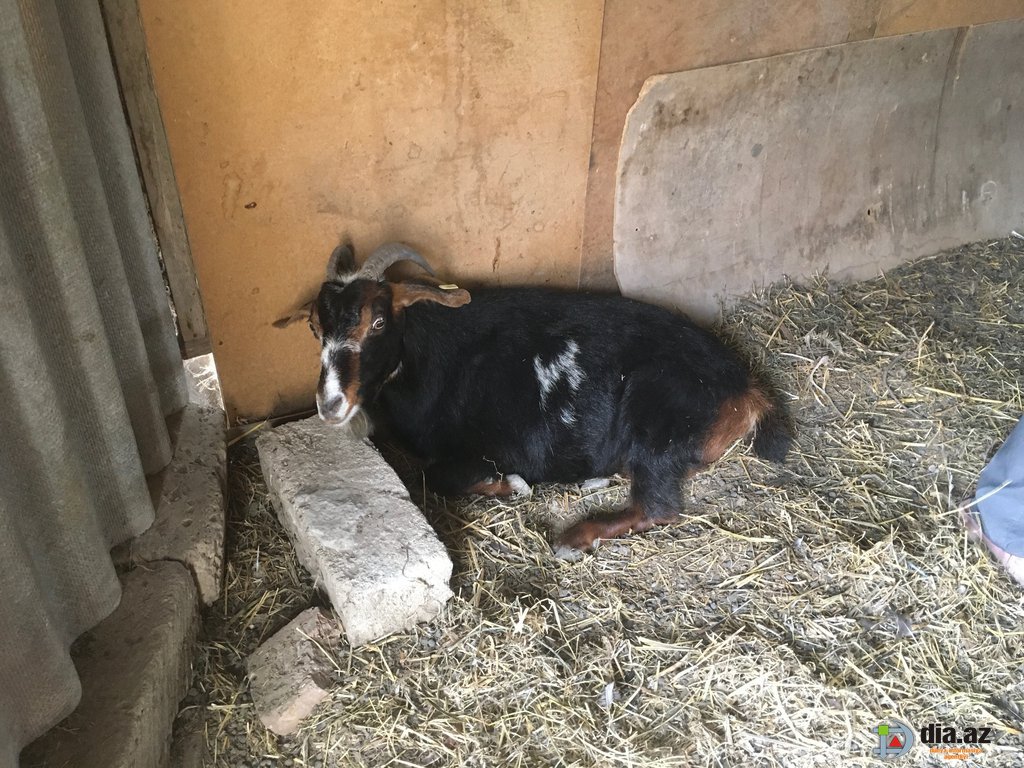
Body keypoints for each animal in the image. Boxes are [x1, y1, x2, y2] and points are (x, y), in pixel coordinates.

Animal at [279, 242, 792, 553]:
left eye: (379, 321)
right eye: (314, 327)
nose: (330, 403)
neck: (431, 358)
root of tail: (745, 387)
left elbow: (437, 476)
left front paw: (512, 485)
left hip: (657, 420)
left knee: (659, 507)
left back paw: (575, 536)